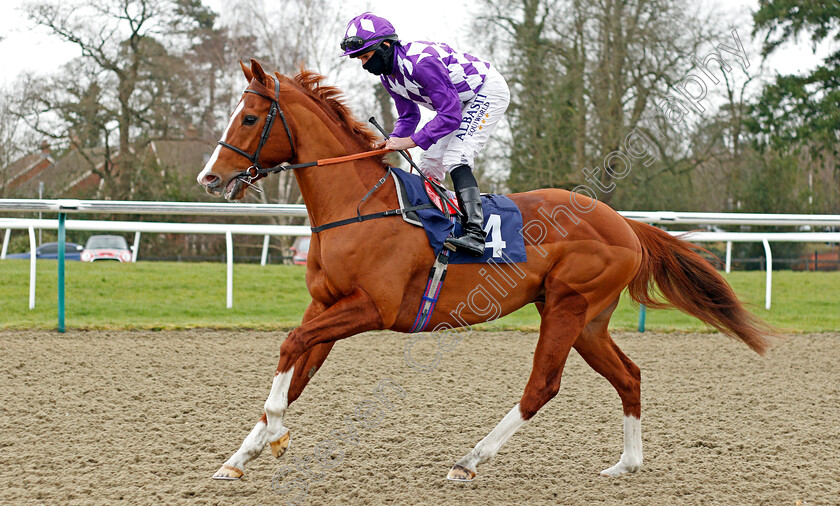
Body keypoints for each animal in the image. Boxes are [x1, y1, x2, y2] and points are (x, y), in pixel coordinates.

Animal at [197, 60, 776, 482]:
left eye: (249, 118)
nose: (210, 178)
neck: (359, 207)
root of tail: (625, 224)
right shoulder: (326, 305)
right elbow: (296, 369)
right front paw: (241, 456)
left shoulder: (371, 308)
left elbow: (290, 345)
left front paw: (275, 435)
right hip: (588, 319)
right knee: (629, 375)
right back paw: (626, 464)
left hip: (568, 305)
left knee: (542, 385)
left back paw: (470, 460)